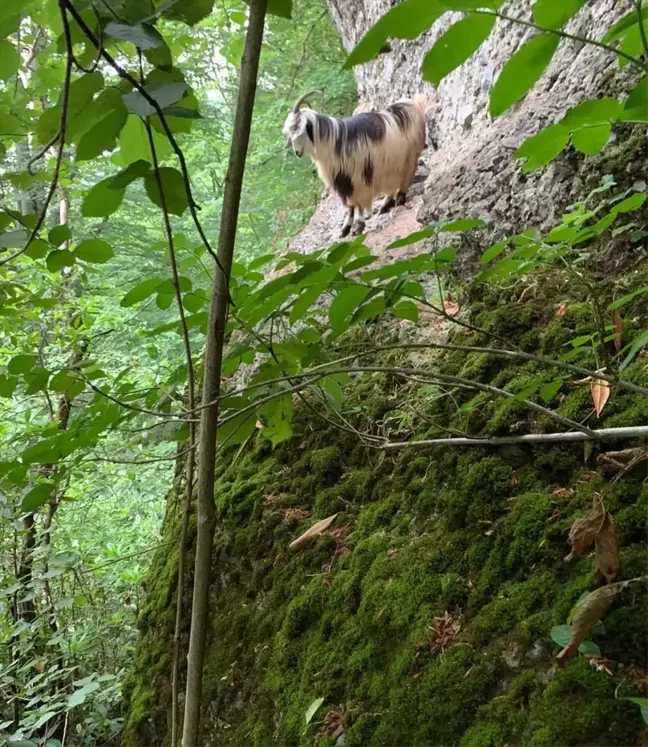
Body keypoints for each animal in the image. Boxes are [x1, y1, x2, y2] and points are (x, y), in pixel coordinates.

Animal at [282, 91, 428, 237]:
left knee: (406, 175)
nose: (297, 152)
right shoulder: (343, 179)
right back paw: (385, 205)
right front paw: (346, 228)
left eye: (296, 128)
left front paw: (358, 225)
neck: (333, 142)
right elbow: (350, 204)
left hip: (410, 156)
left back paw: (400, 199)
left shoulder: (357, 175)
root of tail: (415, 103)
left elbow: (357, 202)